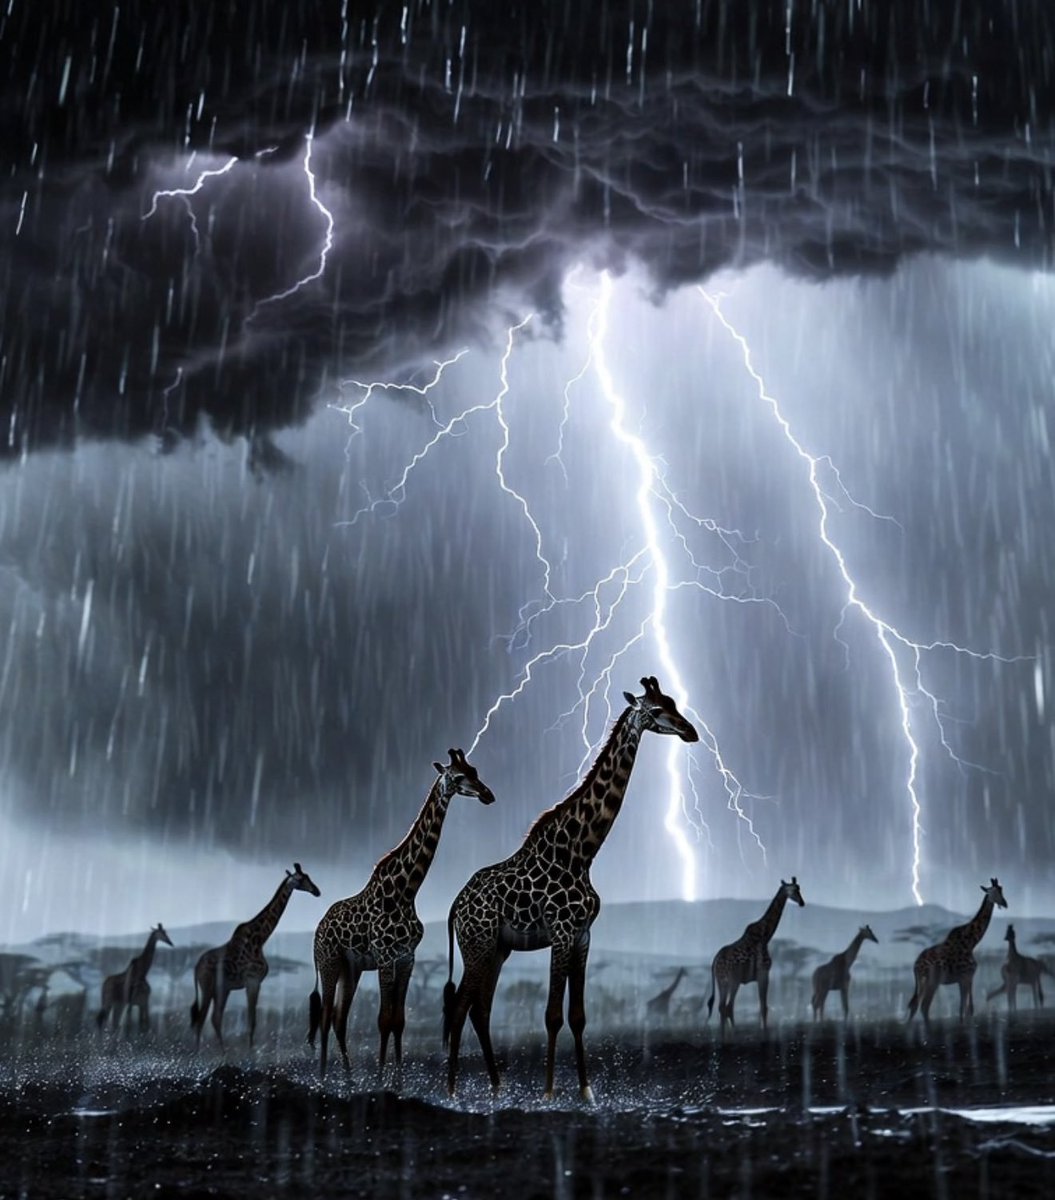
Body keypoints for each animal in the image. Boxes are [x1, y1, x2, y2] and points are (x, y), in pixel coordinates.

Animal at [191, 863, 320, 1050]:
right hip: (207, 986)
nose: (317, 891)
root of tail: (196, 967)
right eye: (301, 879)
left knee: (215, 1018)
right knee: (201, 1019)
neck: (260, 939)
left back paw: (222, 1052)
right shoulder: (252, 981)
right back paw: (198, 1052)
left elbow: (253, 1021)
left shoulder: (255, 982)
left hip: (221, 988)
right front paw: (250, 1052)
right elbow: (252, 1022)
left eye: (309, 877)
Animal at [308, 748, 495, 1078]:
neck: (406, 892)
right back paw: (323, 1077)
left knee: (339, 1018)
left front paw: (398, 1079)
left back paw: (348, 1078)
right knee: (326, 1015)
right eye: (459, 776)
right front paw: (383, 1077)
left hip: (350, 969)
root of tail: (319, 927)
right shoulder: (385, 956)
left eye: (475, 770)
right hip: (329, 963)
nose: (488, 795)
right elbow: (383, 1019)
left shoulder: (407, 957)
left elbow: (399, 1020)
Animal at [443, 675, 699, 1100]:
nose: (690, 731)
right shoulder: (561, 932)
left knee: (480, 1008)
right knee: (461, 1006)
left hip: (497, 949)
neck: (581, 852)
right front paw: (548, 1093)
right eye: (656, 709)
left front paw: (586, 1091)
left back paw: (497, 1087)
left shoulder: (583, 936)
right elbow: (551, 1015)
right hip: (476, 945)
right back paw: (452, 1091)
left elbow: (578, 1016)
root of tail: (454, 908)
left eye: (674, 702)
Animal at [705, 879, 805, 1033]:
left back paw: (725, 1034)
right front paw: (764, 1032)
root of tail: (715, 961)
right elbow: (764, 1007)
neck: (766, 935)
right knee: (727, 1007)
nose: (802, 902)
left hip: (723, 982)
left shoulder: (759, 976)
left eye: (799, 888)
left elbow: (763, 1006)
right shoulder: (763, 973)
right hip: (731, 981)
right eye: (792, 890)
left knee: (723, 1007)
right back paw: (732, 1032)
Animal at [906, 878, 1007, 1025]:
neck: (971, 942)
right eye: (992, 892)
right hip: (930, 982)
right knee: (923, 1006)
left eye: (1001, 890)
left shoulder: (963, 979)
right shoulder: (968, 976)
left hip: (924, 982)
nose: (1005, 903)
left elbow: (962, 1008)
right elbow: (968, 1009)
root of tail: (916, 965)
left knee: (917, 1005)